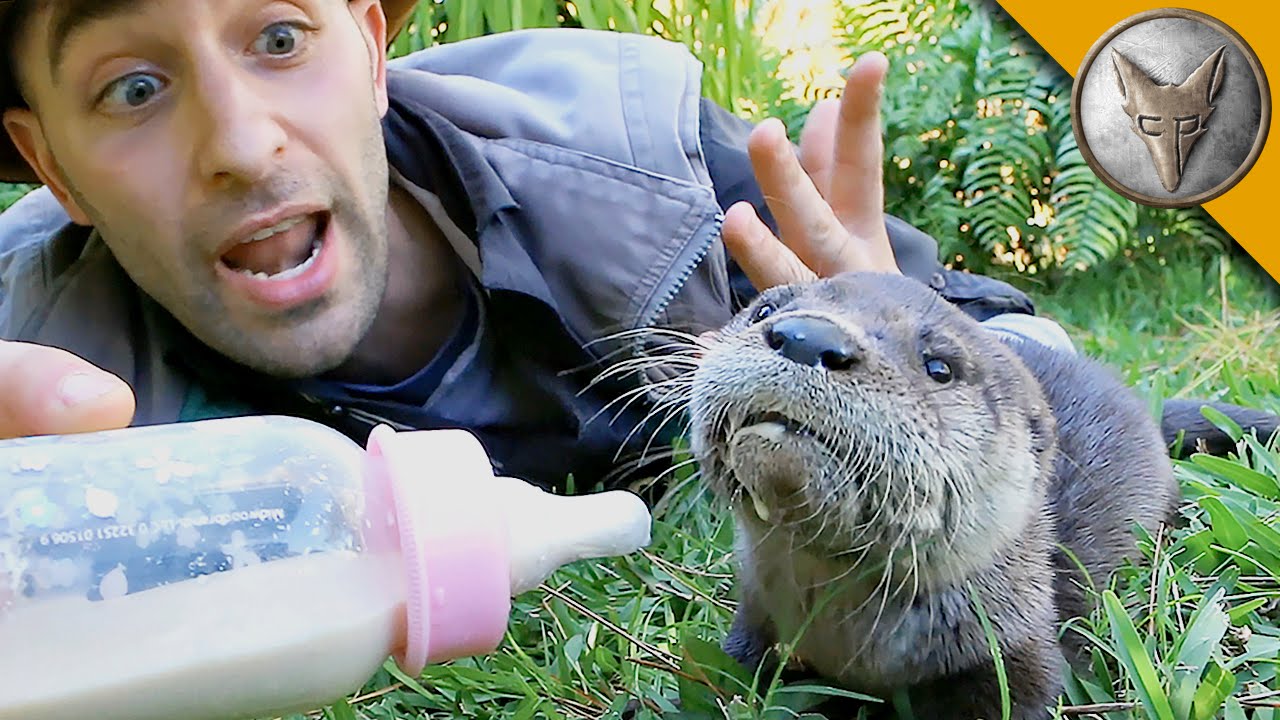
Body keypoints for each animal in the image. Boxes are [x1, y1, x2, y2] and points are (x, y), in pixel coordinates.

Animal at [675, 271, 1278, 720]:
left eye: (939, 366)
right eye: (763, 310)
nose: (808, 336)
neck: (850, 645)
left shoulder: (1016, 660)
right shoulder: (755, 629)